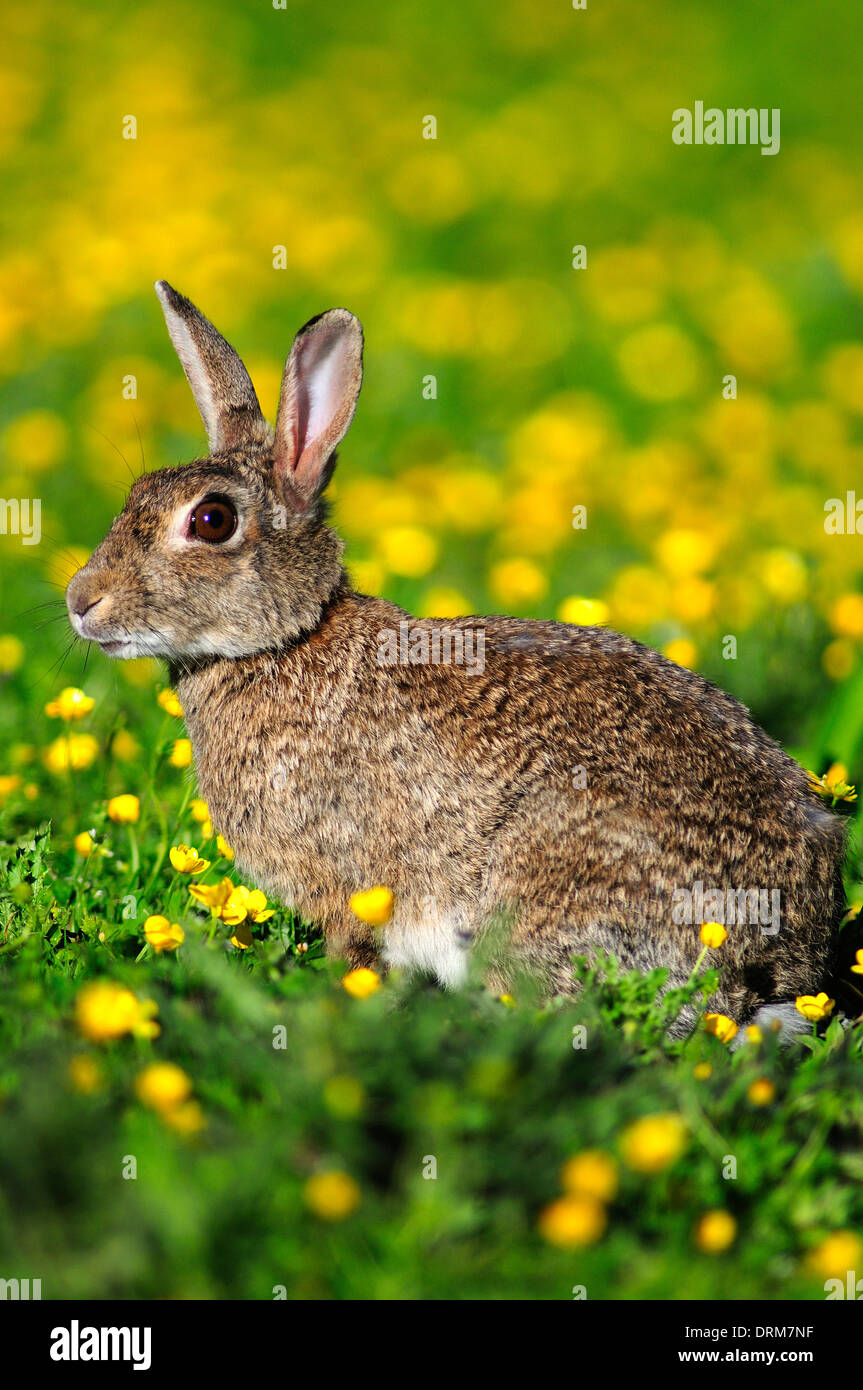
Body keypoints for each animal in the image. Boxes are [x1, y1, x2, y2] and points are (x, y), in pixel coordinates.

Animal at [66, 280, 849, 1037]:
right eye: (135, 494)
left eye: (212, 520)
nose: (81, 600)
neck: (288, 640)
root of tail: (776, 950)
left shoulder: (350, 883)